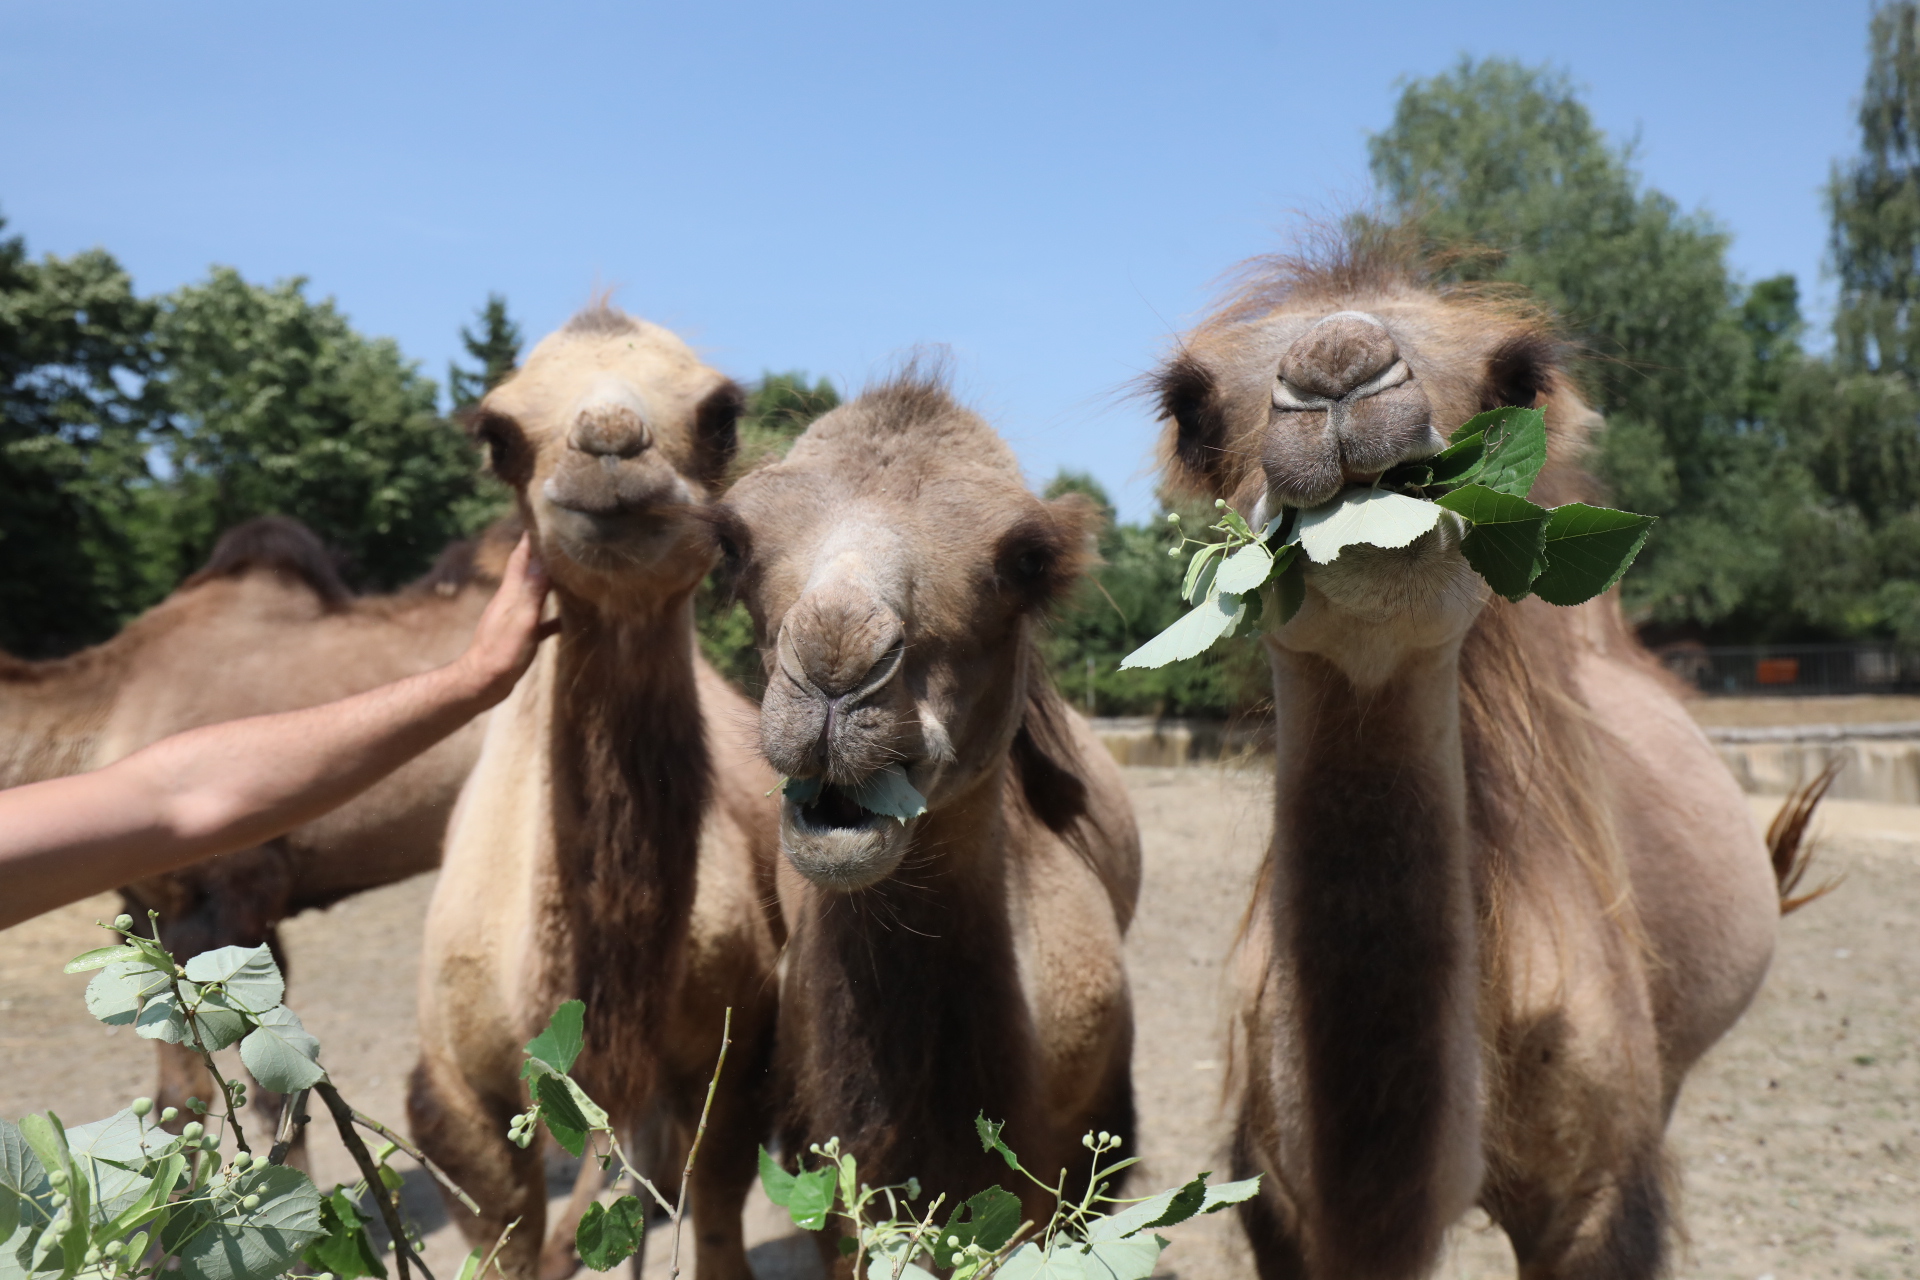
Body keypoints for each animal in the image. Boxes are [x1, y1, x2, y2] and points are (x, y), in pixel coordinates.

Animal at [412, 303, 787, 1280]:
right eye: (498, 433)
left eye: (721, 414)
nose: (610, 443)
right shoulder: (454, 1090)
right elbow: (508, 1233)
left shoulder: (735, 1052)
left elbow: (718, 1208)